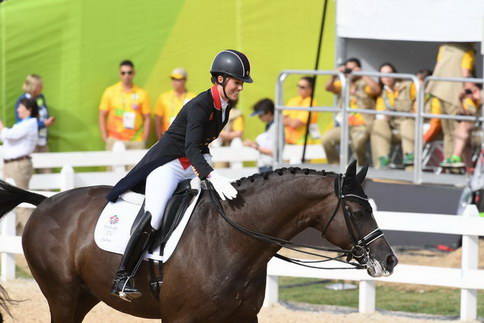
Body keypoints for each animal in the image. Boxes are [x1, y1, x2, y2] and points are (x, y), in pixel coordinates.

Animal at [0, 161, 396, 322]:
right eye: (357, 210)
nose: (389, 260)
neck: (231, 242)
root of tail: (45, 202)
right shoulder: (179, 318)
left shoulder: (243, 318)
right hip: (63, 295)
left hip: (83, 296)